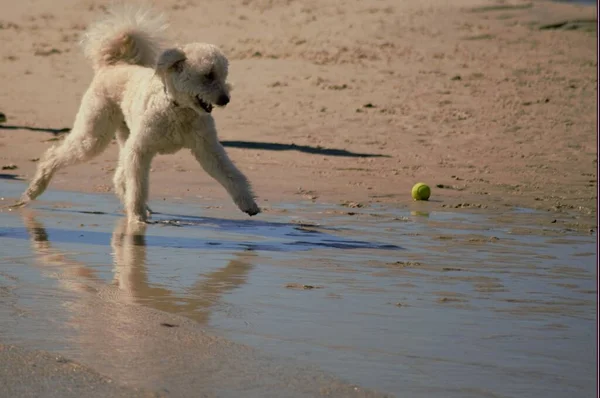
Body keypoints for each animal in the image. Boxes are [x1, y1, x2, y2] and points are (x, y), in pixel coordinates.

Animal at [19, 6, 258, 222]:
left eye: (223, 75)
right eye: (208, 75)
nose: (225, 99)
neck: (177, 109)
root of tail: (111, 65)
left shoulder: (208, 150)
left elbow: (231, 175)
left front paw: (249, 204)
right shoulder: (140, 150)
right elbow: (138, 185)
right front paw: (136, 217)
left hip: (122, 136)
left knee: (118, 176)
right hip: (94, 136)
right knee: (53, 156)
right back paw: (33, 191)